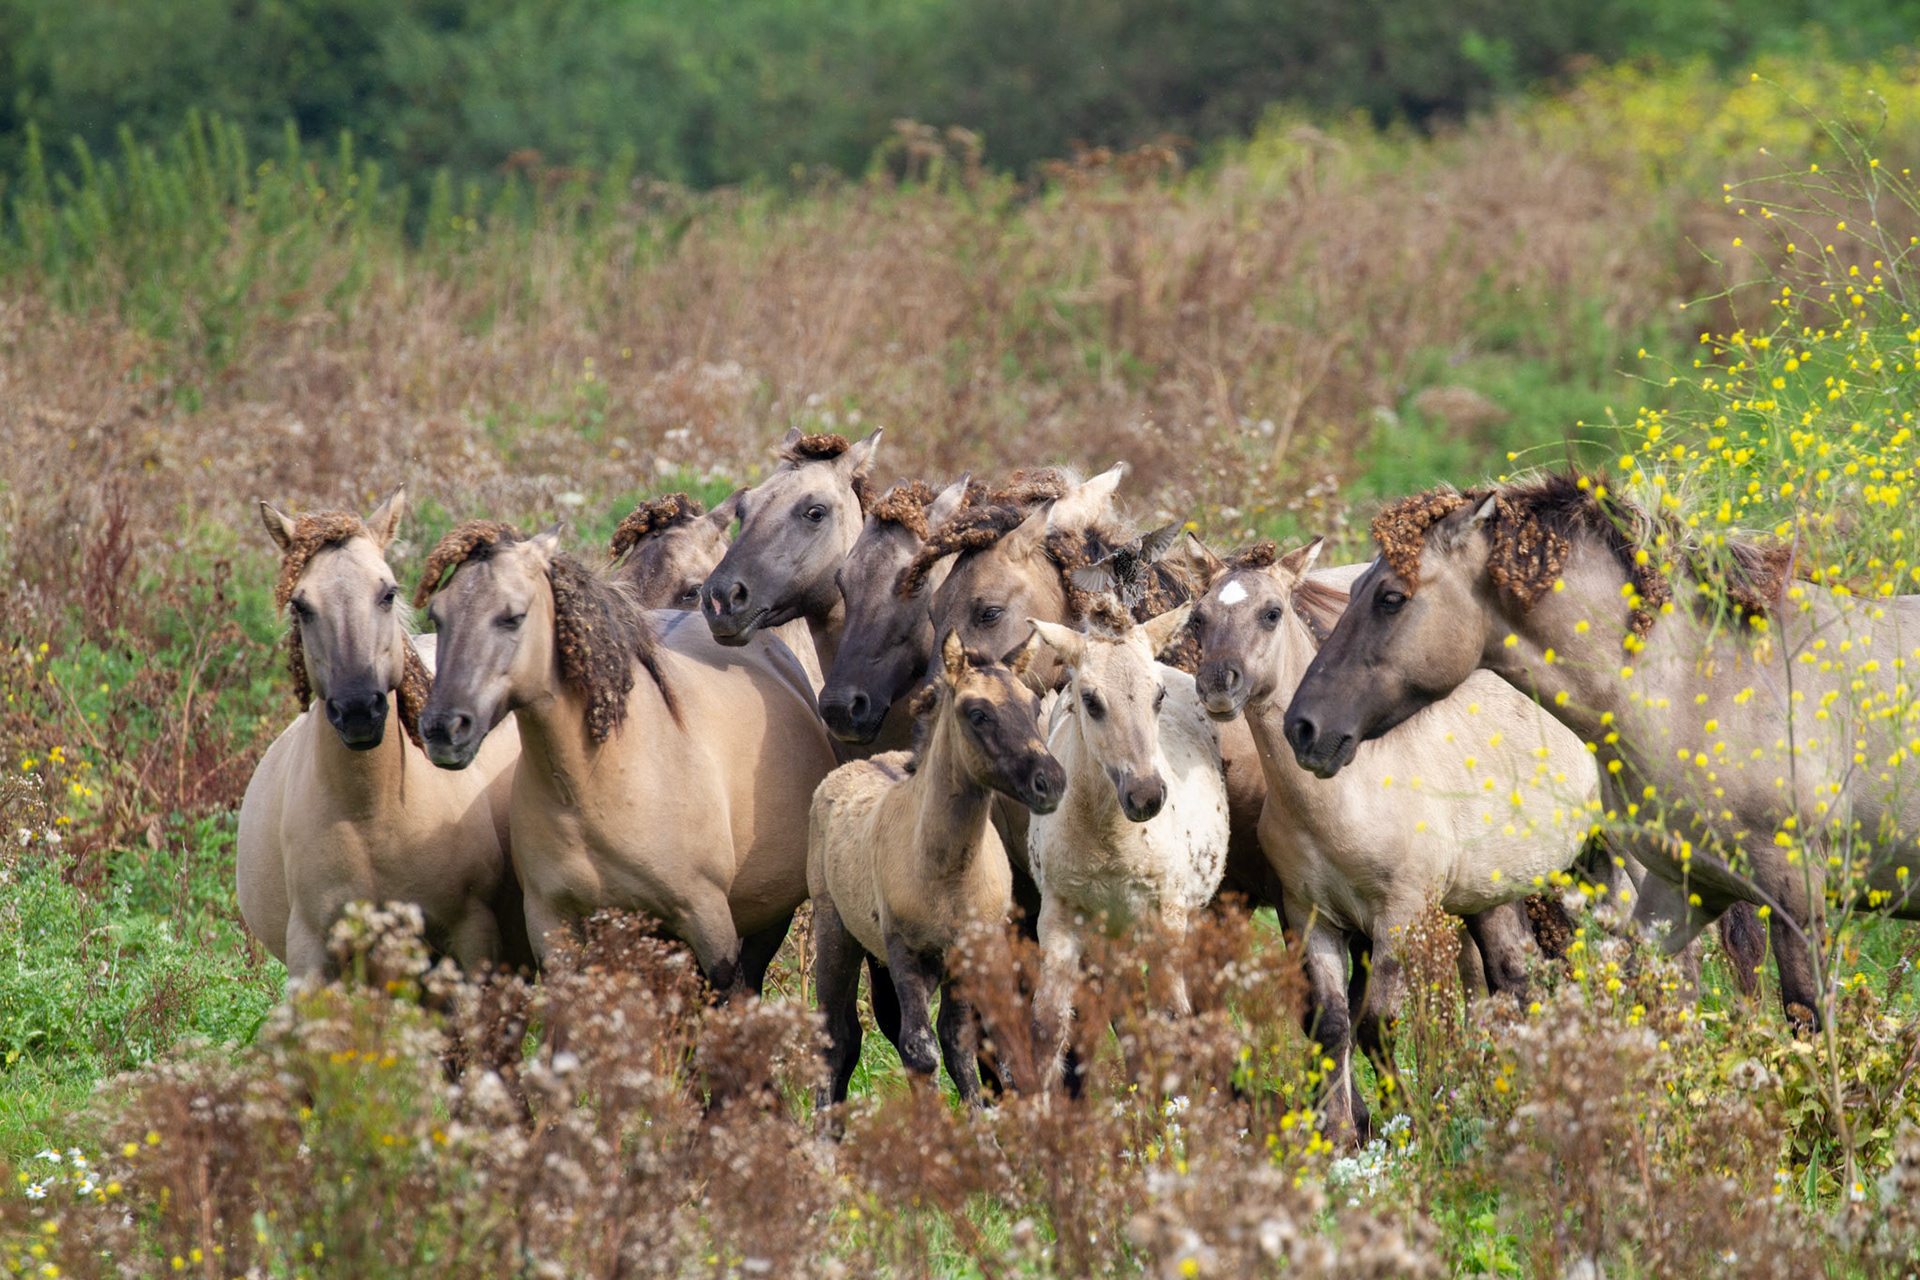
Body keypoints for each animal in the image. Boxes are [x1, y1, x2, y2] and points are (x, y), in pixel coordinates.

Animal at [237, 489, 529, 980]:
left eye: (388, 593)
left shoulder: (472, 935)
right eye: (301, 606)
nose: (358, 710)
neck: (371, 814)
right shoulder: (310, 954)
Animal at [414, 520, 836, 993]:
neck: (595, 783)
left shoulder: (710, 925)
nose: (443, 727)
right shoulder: (552, 925)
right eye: (438, 617)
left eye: (513, 616)